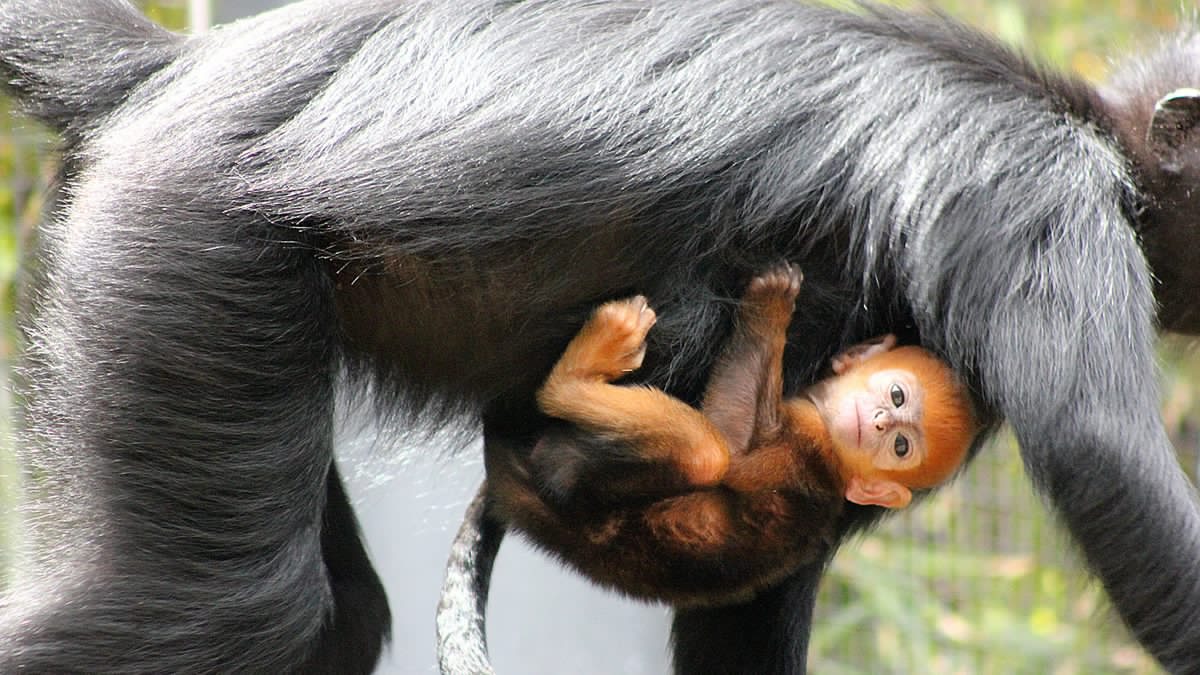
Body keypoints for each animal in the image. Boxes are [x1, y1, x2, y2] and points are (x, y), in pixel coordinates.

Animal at [486, 265, 979, 606]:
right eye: (897, 396)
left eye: (900, 447)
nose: (879, 422)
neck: (836, 458)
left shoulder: (805, 444)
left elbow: (732, 439)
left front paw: (772, 307)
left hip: (570, 480)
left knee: (705, 453)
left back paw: (580, 369)